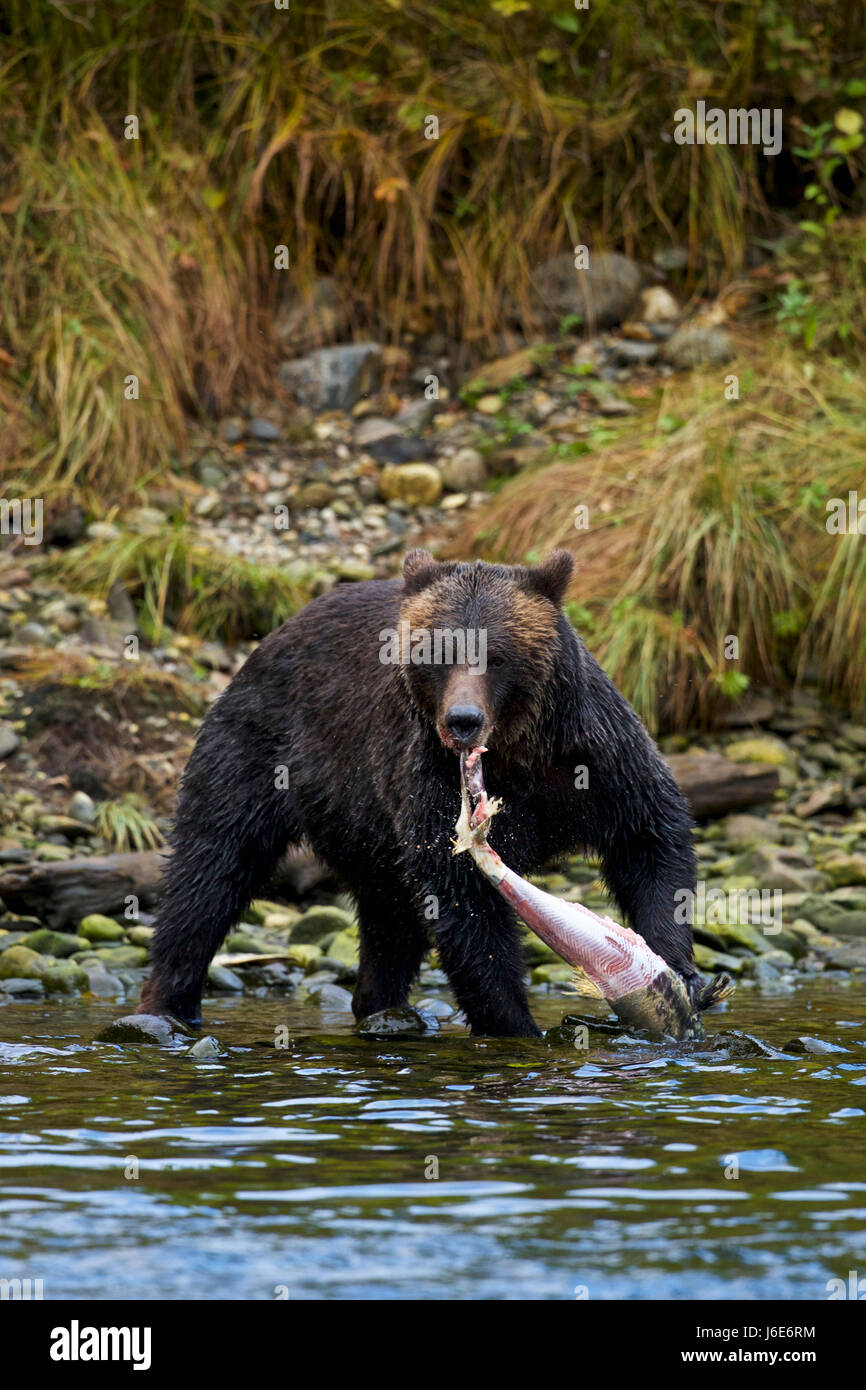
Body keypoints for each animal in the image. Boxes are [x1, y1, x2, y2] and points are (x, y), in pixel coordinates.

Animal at [139, 547, 700, 1039]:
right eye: (440, 653)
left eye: (497, 656)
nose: (463, 720)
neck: (517, 754)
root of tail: (272, 637)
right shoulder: (430, 780)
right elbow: (465, 903)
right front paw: (515, 1022)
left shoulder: (593, 756)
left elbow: (649, 836)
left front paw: (674, 964)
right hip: (261, 747)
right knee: (211, 867)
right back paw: (166, 1006)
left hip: (365, 826)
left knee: (389, 919)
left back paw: (383, 1007)